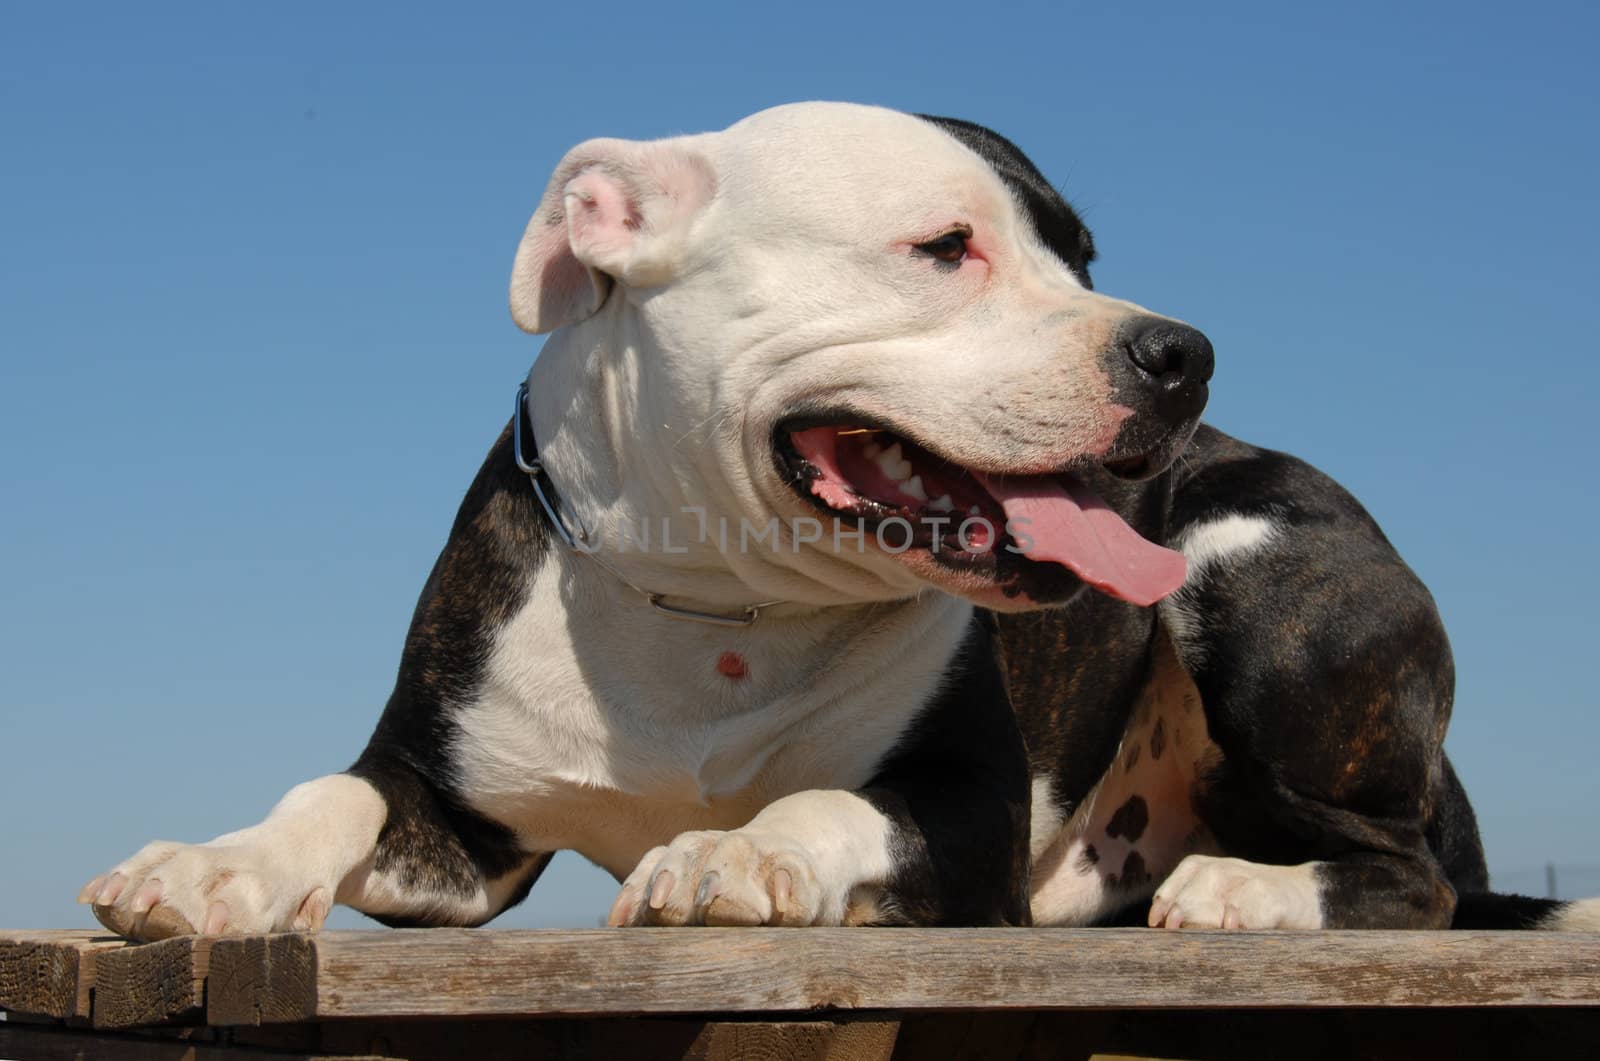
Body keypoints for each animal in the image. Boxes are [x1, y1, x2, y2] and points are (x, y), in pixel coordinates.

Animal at [78, 104, 1600, 940]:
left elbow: (825, 799)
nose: (1184, 354)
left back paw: (1251, 892)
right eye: (946, 248)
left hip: (1255, 562)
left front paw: (734, 848)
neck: (718, 597)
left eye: (1081, 258)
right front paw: (213, 867)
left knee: (1412, 873)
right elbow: (329, 791)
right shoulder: (452, 820)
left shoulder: (968, 812)